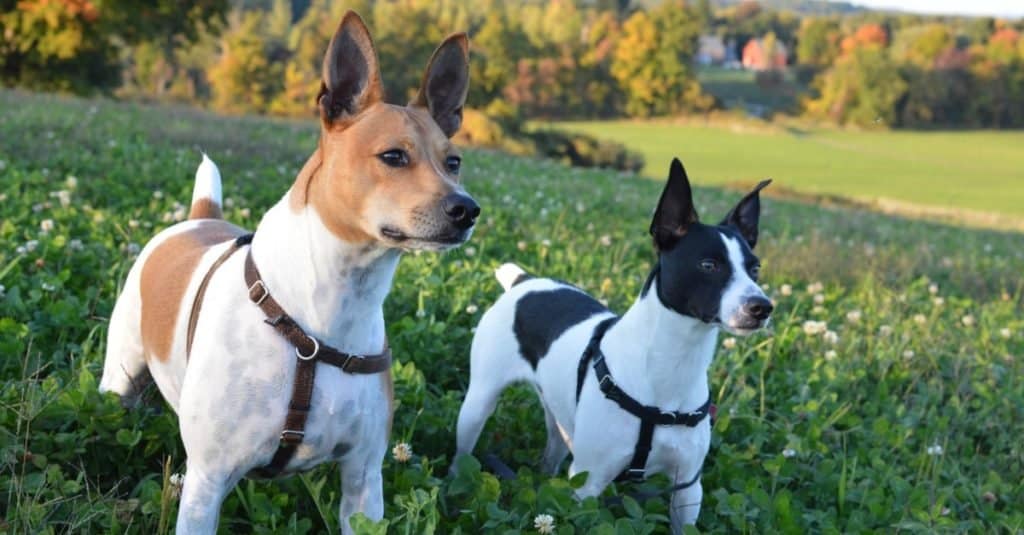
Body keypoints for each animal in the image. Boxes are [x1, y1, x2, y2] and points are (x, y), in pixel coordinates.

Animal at [99, 12, 475, 532]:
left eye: (453, 162)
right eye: (393, 156)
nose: (467, 210)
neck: (324, 315)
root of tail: (200, 215)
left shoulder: (363, 479)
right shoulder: (206, 483)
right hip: (118, 377)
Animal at [452, 156, 770, 524]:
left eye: (755, 269)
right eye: (709, 264)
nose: (762, 306)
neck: (671, 367)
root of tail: (524, 281)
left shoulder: (688, 489)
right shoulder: (588, 483)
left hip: (559, 418)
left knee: (551, 454)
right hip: (478, 405)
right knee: (462, 452)